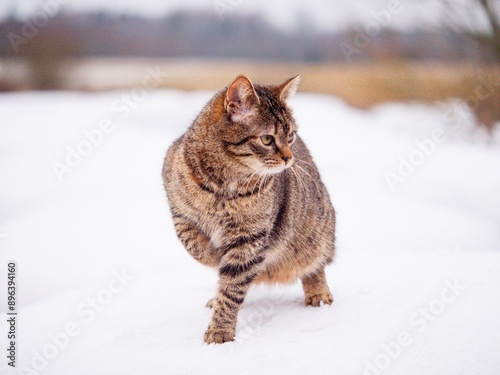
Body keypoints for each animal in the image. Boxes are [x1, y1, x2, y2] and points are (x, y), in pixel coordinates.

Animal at [163, 75, 336, 346]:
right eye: (267, 139)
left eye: (291, 135)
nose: (289, 158)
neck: (222, 186)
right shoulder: (179, 210)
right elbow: (193, 245)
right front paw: (212, 256)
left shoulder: (249, 239)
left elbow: (232, 288)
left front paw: (220, 330)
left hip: (317, 231)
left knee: (315, 265)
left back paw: (318, 293)